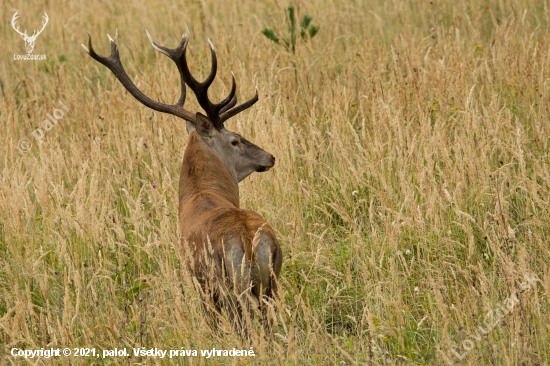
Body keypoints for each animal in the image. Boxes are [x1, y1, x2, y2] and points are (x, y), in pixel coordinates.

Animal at [84, 28, 284, 340]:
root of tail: (250, 240)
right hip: (270, 281)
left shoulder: (198, 282)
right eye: (235, 140)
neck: (199, 195)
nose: (270, 156)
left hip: (228, 285)